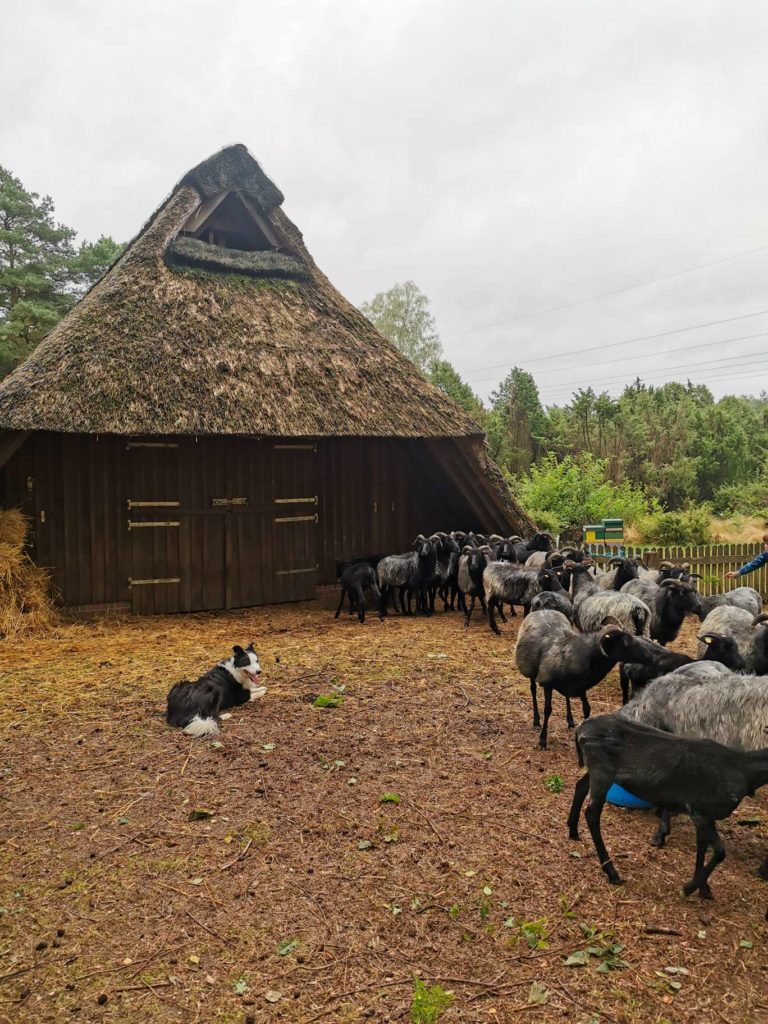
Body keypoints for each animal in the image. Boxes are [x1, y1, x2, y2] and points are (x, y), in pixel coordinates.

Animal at [514, 610, 651, 749]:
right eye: (626, 642)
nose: (648, 654)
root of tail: (541, 610)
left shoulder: (581, 685)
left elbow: (587, 708)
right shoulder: (547, 684)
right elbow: (548, 710)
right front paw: (542, 740)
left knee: (566, 697)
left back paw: (570, 721)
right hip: (531, 673)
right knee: (533, 690)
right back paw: (536, 721)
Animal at [569, 712, 768, 897]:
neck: (743, 771)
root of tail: (581, 729)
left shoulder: (704, 812)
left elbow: (702, 846)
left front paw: (703, 889)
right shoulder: (698, 809)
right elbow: (719, 851)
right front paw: (689, 888)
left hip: (596, 771)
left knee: (580, 786)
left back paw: (573, 831)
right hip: (602, 770)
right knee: (592, 814)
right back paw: (612, 872)